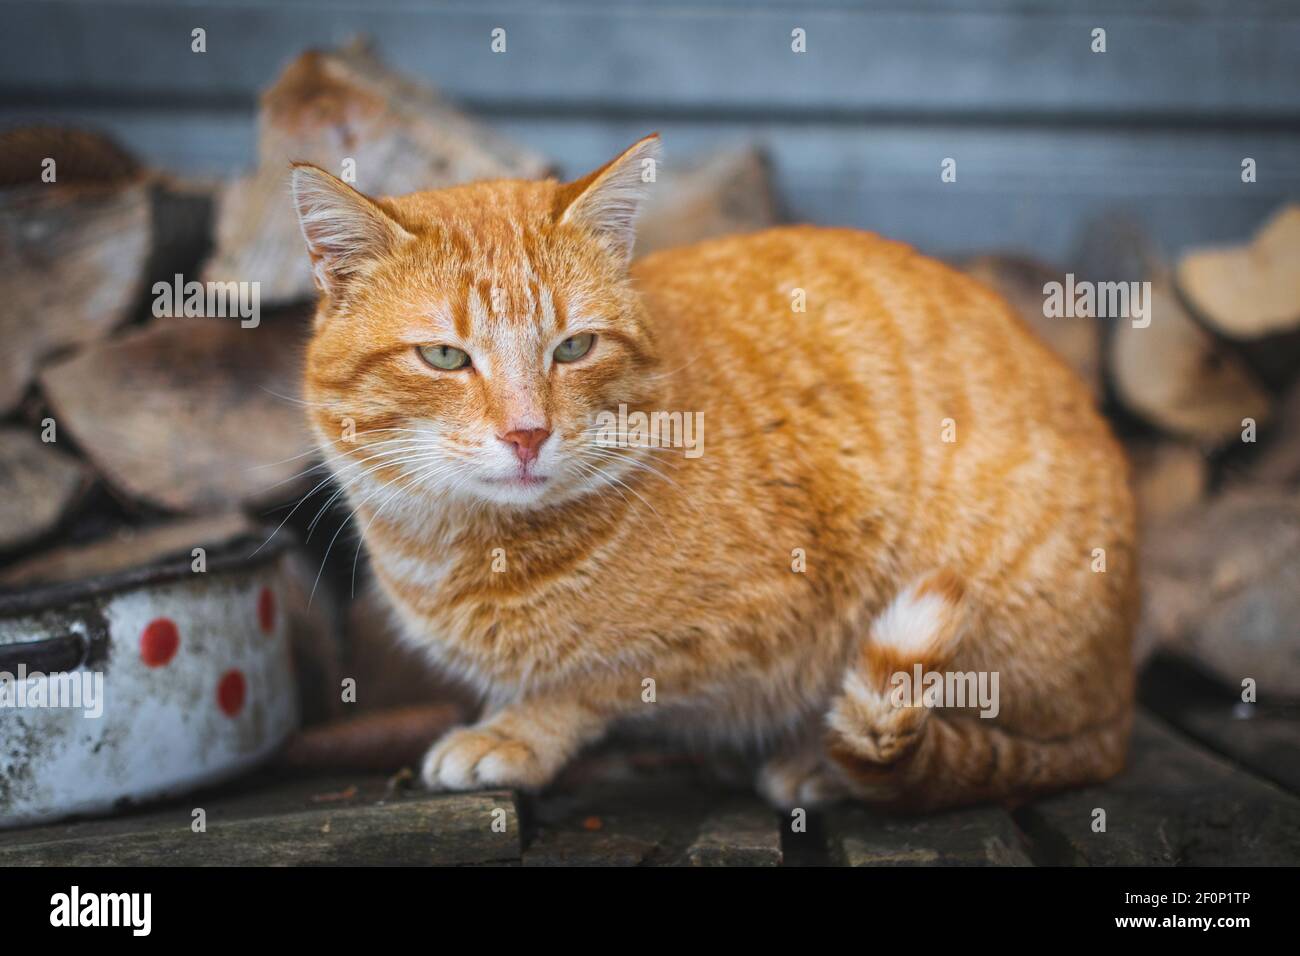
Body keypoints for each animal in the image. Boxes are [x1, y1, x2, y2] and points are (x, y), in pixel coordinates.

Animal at [289, 132, 1133, 806]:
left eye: (574, 347)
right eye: (443, 356)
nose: (528, 433)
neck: (459, 547)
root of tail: (1120, 699)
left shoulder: (757, 624)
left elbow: (591, 681)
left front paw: (516, 734)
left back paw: (819, 764)